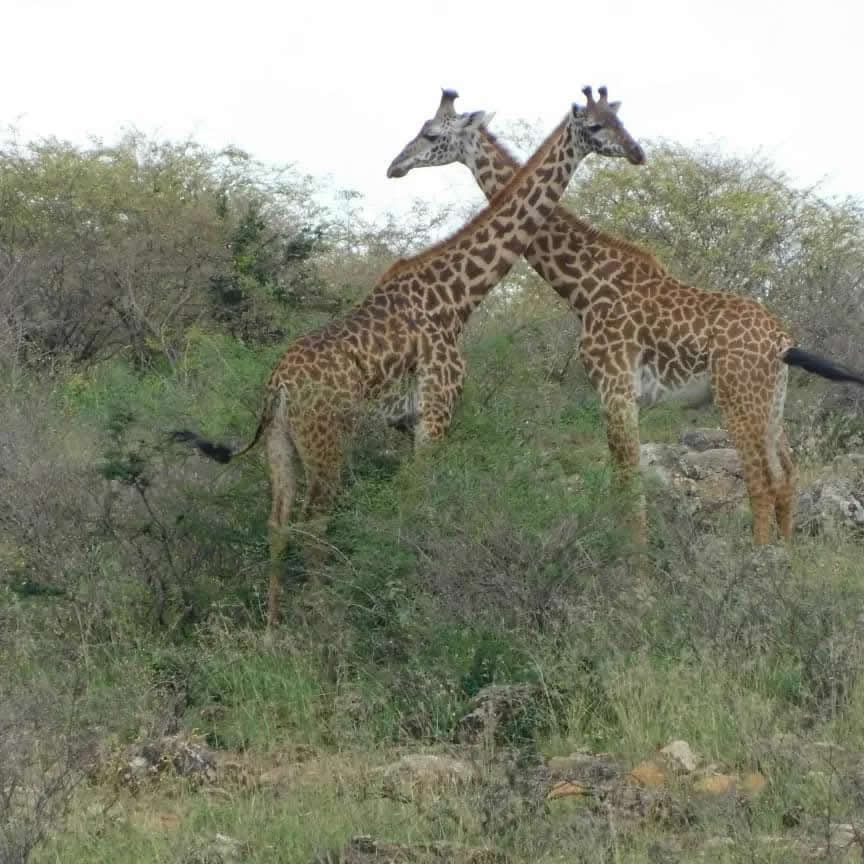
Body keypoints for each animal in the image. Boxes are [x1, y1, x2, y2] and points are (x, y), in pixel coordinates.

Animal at [173, 86, 646, 630]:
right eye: (594, 126)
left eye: (620, 119)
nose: (636, 152)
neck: (458, 296)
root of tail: (279, 387)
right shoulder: (438, 406)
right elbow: (421, 498)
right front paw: (413, 596)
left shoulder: (407, 420)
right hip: (327, 440)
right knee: (315, 521)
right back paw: (318, 618)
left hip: (280, 444)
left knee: (278, 521)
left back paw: (273, 630)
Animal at [386, 88, 864, 547]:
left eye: (430, 134)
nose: (396, 165)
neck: (583, 284)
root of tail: (783, 341)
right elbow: (626, 483)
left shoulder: (614, 387)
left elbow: (627, 485)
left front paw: (635, 569)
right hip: (771, 404)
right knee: (786, 477)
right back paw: (786, 559)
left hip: (738, 399)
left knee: (761, 482)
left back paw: (759, 562)